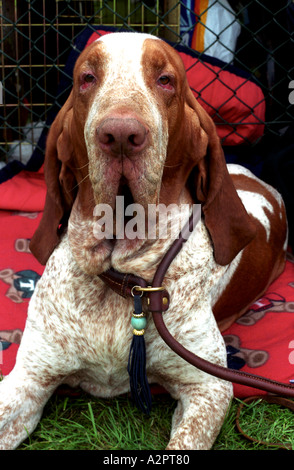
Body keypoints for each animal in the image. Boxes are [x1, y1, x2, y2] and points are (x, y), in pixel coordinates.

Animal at [0, 31, 286, 450]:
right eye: (87, 78)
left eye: (165, 80)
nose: (120, 134)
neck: (122, 279)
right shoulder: (29, 379)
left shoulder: (209, 388)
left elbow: (186, 440)